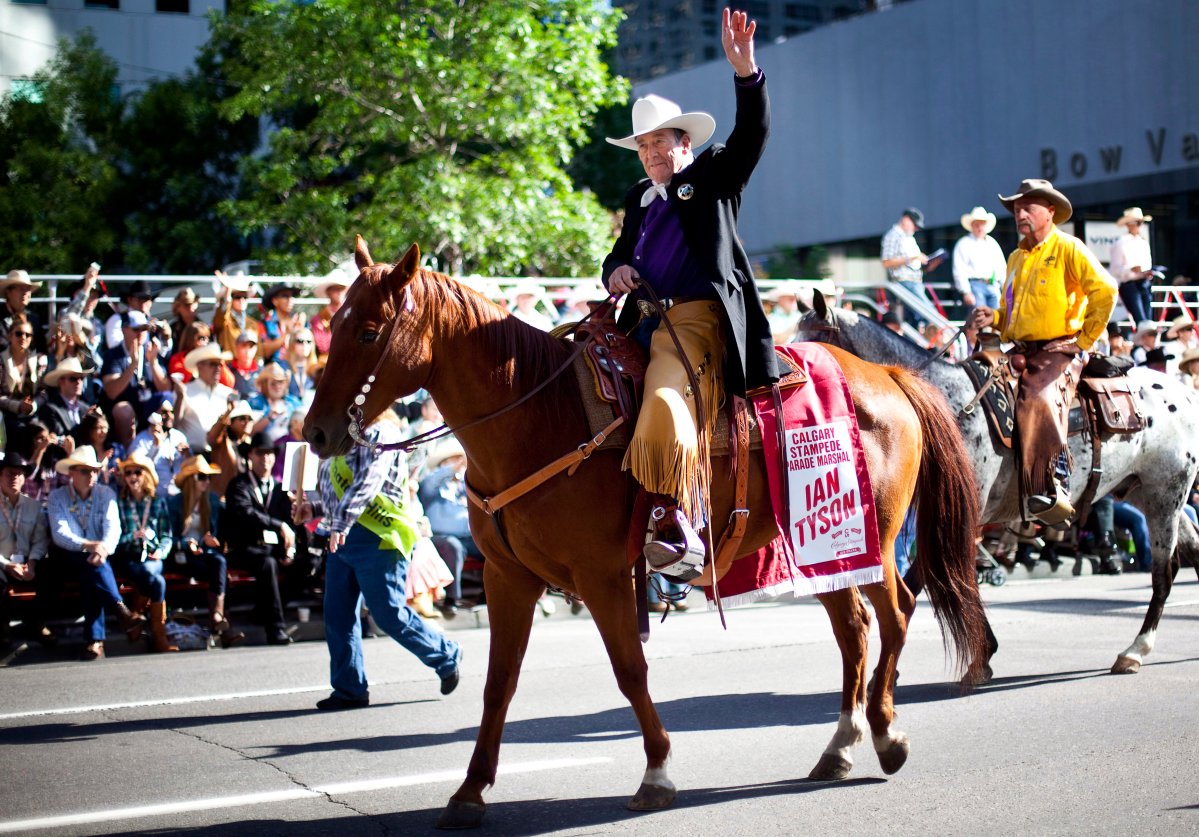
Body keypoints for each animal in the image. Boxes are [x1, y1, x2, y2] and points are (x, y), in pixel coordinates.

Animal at [304, 236, 987, 829]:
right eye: (332, 322)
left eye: (369, 332)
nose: (315, 432)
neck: (537, 414)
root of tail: (887, 374)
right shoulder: (506, 578)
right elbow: (499, 683)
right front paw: (469, 792)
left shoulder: (602, 577)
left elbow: (629, 669)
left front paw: (656, 773)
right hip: (821, 547)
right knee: (855, 629)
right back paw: (840, 747)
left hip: (871, 536)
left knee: (896, 612)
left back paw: (887, 733)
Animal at [796, 291, 1199, 671]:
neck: (945, 403)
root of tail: (1185, 390)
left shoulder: (957, 515)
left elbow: (931, 579)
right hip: (1147, 493)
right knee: (1188, 553)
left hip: (1166, 494)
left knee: (1164, 572)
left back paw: (1135, 651)